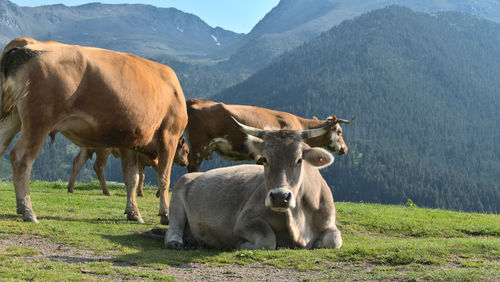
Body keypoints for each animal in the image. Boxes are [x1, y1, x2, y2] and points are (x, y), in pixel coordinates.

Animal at [0, 37, 188, 225]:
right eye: (185, 150)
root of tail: (26, 43)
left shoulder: (130, 141)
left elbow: (131, 178)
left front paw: (133, 212)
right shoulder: (169, 135)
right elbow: (164, 177)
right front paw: (165, 214)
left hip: (11, 117)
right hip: (39, 121)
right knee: (21, 158)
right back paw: (27, 210)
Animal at [166, 118, 346, 250]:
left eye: (299, 160)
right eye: (264, 159)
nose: (280, 197)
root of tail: (194, 175)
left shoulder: (329, 222)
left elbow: (334, 240)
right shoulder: (245, 220)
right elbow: (268, 240)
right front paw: (242, 244)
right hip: (177, 196)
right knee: (174, 228)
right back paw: (176, 243)